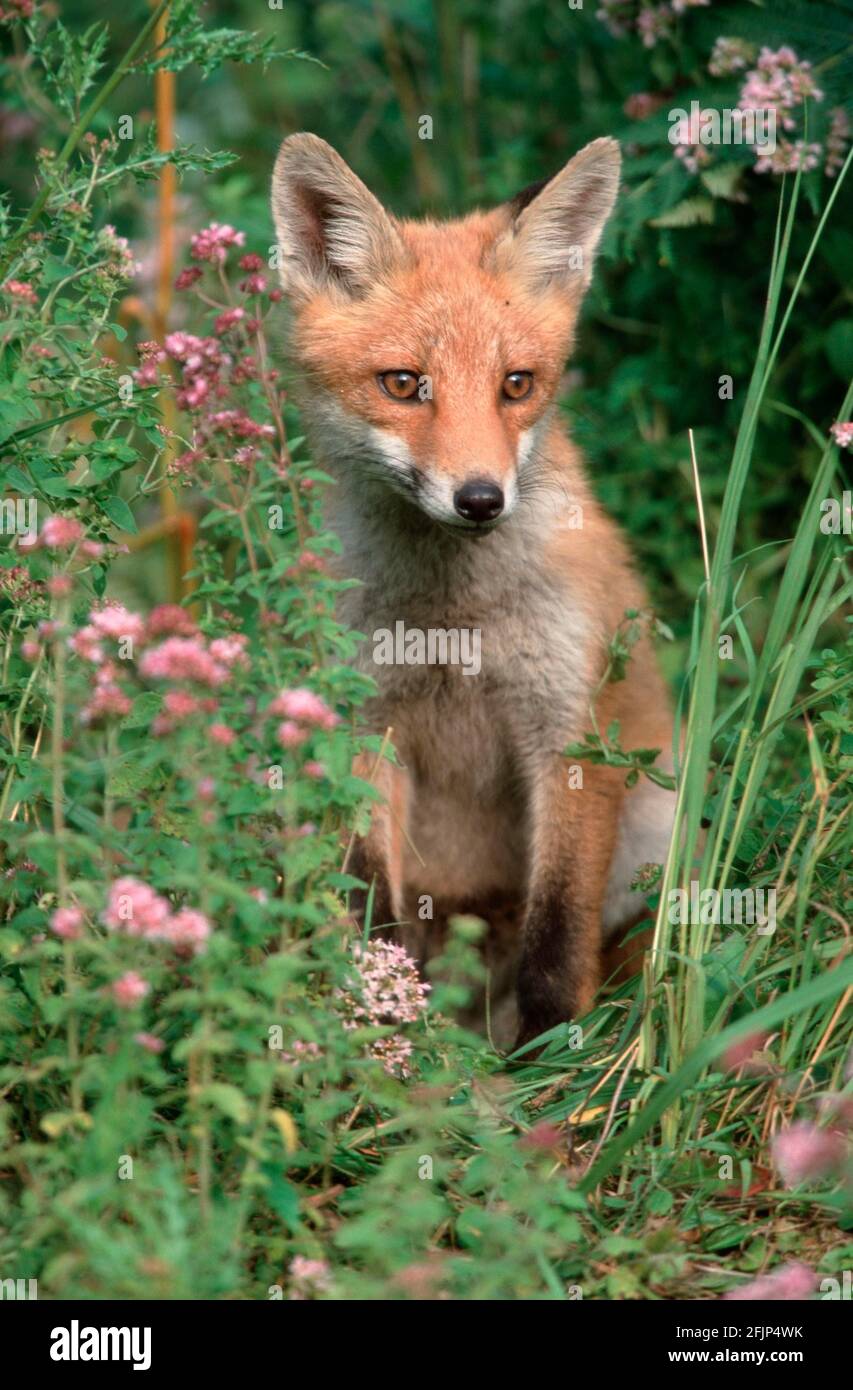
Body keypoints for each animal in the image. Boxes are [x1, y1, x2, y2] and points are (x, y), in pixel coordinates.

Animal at [270, 132, 677, 1045]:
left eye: (515, 385)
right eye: (402, 384)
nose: (481, 499)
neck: (452, 624)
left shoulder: (567, 735)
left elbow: (557, 943)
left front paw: (550, 1059)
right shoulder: (365, 729)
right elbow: (375, 919)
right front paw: (387, 1029)